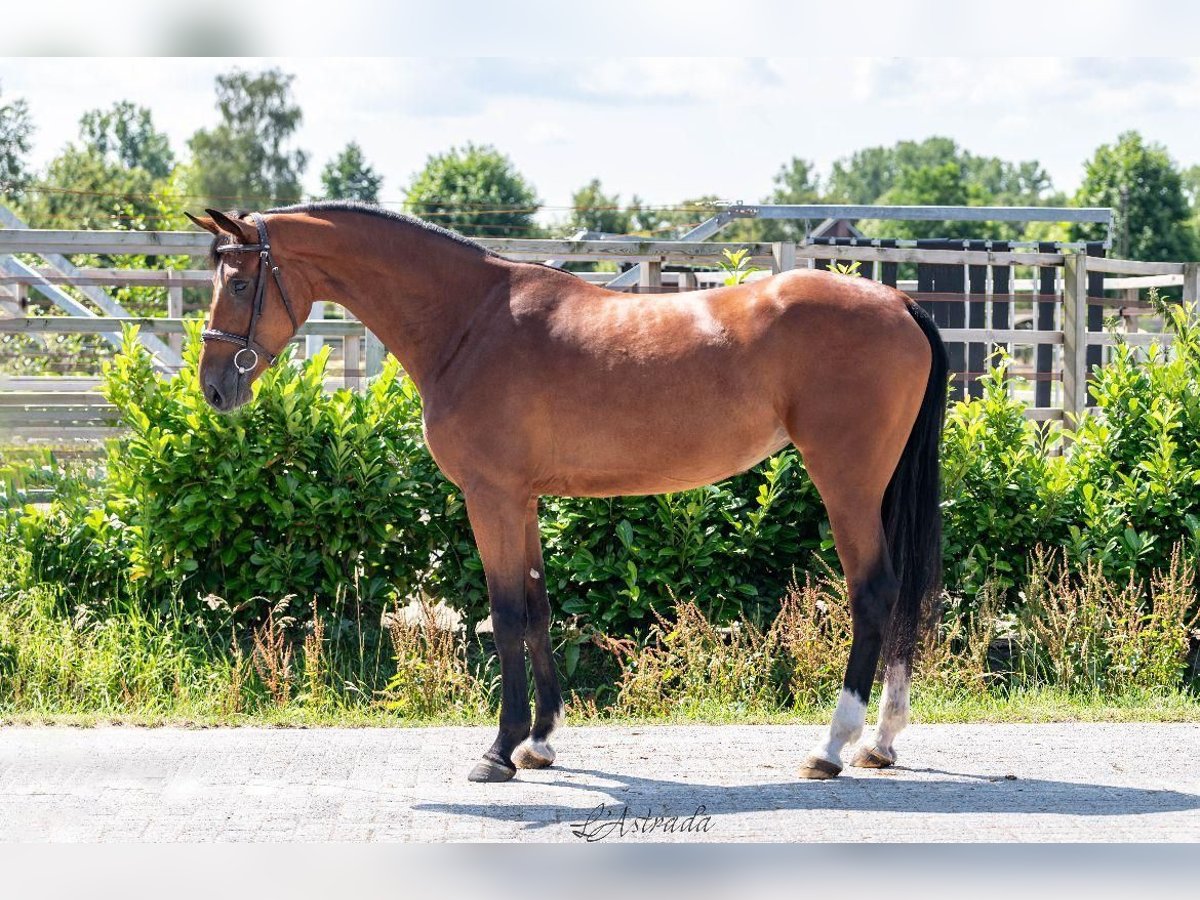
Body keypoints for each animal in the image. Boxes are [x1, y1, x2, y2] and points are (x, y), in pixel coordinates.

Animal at [184, 202, 945, 782]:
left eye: (242, 284)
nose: (216, 388)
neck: (470, 321)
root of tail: (898, 299)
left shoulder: (490, 497)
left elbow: (505, 616)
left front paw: (498, 751)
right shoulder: (520, 501)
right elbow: (537, 607)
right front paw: (541, 742)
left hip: (846, 482)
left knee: (873, 591)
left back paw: (832, 746)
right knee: (901, 592)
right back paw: (881, 741)